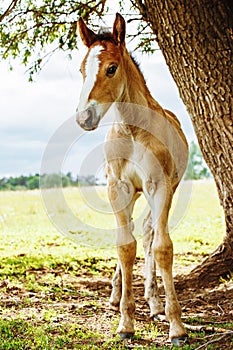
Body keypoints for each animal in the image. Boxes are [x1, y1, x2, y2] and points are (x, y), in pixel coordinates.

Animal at [75, 13, 188, 344]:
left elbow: (162, 247)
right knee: (136, 232)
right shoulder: (119, 188)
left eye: (111, 68)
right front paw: (125, 323)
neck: (133, 129)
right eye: (82, 70)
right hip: (135, 193)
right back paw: (117, 294)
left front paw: (177, 327)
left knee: (150, 233)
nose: (84, 117)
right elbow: (125, 246)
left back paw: (155, 302)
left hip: (163, 190)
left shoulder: (159, 186)